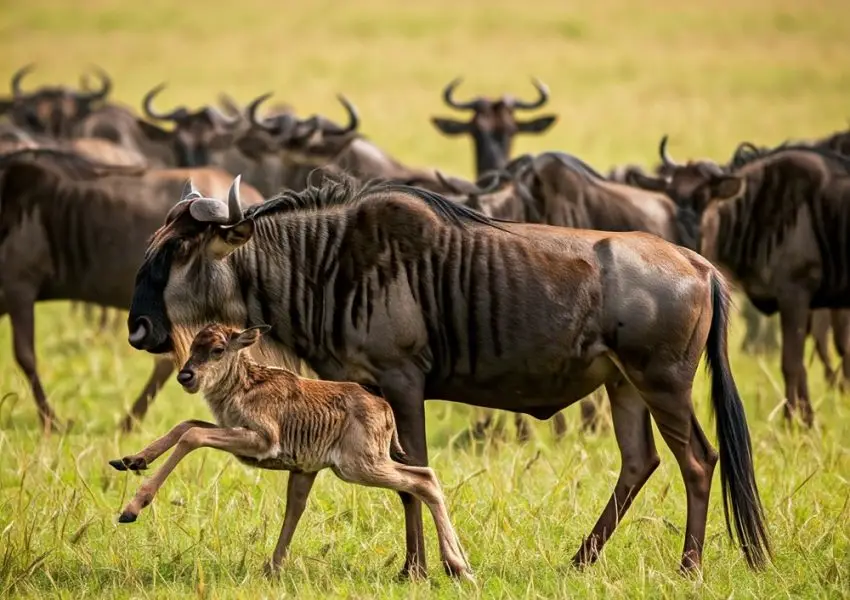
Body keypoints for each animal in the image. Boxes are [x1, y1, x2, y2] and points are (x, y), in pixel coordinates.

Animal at [126, 174, 770, 576]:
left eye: (180, 250)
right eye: (154, 241)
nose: (138, 330)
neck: (326, 263)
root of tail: (699, 263)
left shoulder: (401, 382)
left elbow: (412, 475)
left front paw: (416, 569)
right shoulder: (361, 392)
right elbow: (375, 480)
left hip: (663, 383)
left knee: (697, 461)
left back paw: (688, 567)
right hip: (622, 386)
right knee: (639, 462)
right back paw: (580, 561)